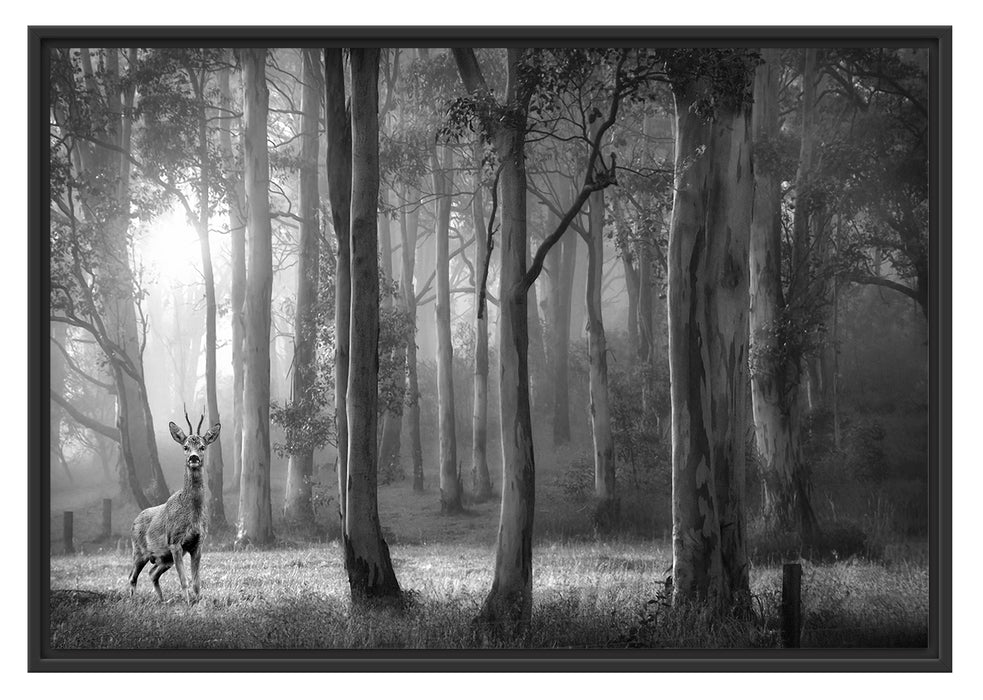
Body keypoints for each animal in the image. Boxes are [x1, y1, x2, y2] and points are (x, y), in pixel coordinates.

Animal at [128, 410, 220, 605]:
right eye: (185, 447)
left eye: (202, 447)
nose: (194, 458)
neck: (192, 514)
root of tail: (135, 520)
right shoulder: (174, 542)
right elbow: (184, 579)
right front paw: (188, 602)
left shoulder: (198, 543)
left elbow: (196, 581)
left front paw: (198, 601)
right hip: (139, 551)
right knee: (132, 576)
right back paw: (133, 600)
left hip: (164, 558)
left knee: (152, 573)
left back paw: (162, 600)